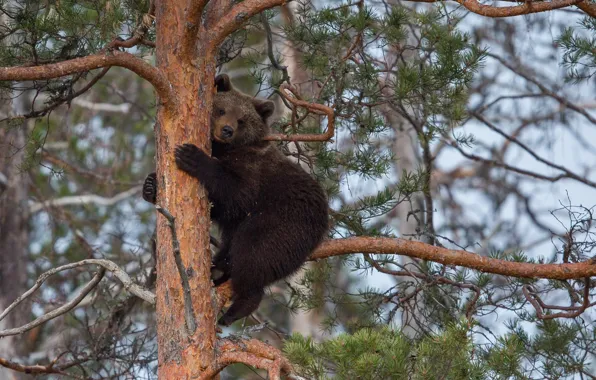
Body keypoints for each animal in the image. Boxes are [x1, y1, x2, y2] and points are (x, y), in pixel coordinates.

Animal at [144, 74, 330, 326]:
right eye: (222, 110)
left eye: (242, 120)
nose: (226, 130)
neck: (225, 149)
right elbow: (216, 207)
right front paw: (150, 185)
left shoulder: (253, 172)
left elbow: (235, 194)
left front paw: (192, 156)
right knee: (232, 250)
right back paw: (218, 270)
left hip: (282, 224)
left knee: (253, 254)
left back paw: (235, 308)